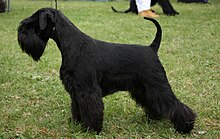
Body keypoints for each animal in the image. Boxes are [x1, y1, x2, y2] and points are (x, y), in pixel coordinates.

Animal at [17, 7, 196, 134]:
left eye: (31, 24)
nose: (20, 35)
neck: (71, 45)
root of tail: (152, 48)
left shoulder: (88, 90)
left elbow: (92, 110)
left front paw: (91, 129)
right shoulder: (76, 90)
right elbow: (77, 108)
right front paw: (76, 124)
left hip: (157, 85)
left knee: (175, 104)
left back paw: (186, 126)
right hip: (143, 88)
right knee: (154, 102)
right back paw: (154, 118)